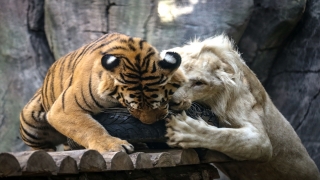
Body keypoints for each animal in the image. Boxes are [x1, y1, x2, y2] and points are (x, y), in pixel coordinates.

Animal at [19, 33, 185, 153]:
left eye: (162, 101)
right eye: (132, 106)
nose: (149, 124)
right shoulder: (64, 109)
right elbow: (90, 128)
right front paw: (113, 145)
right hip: (29, 120)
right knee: (41, 147)